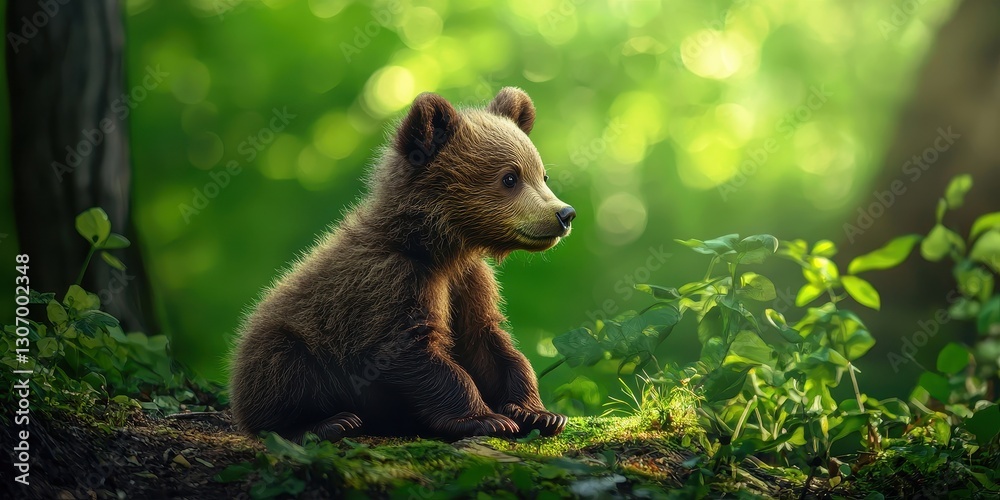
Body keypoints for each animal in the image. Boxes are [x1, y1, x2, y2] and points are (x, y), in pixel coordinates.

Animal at [228, 87, 576, 442]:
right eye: (509, 177)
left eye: (542, 174)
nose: (565, 214)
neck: (438, 249)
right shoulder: (391, 280)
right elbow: (414, 350)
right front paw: (485, 418)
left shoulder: (467, 281)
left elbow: (489, 342)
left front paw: (538, 413)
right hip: (291, 342)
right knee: (285, 372)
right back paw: (327, 423)